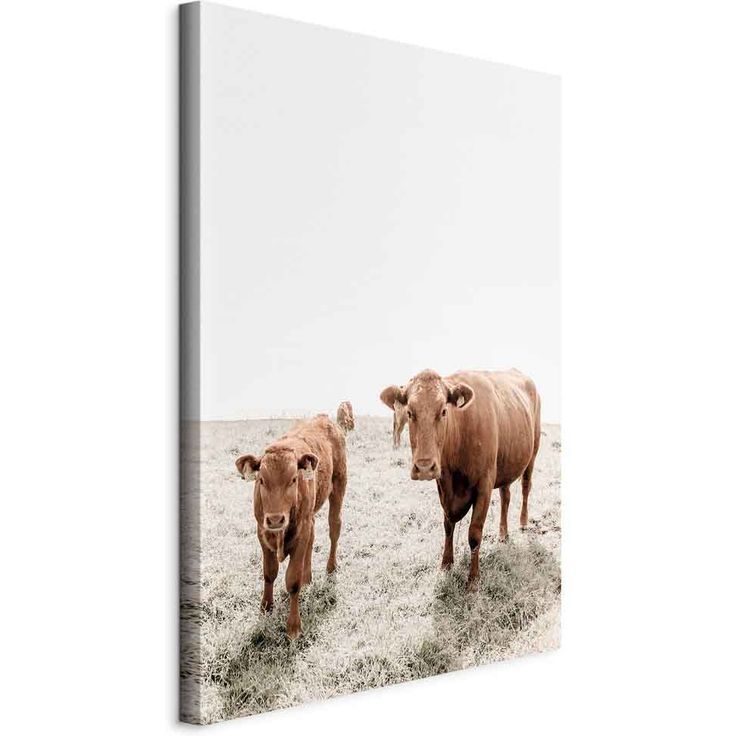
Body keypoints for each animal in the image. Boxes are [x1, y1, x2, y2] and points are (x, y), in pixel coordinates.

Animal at [235, 415, 347, 639]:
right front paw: (266, 607)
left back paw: (330, 567)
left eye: (294, 479)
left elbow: (292, 581)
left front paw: (293, 626)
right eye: (261, 480)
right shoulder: (262, 532)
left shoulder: (300, 532)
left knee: (334, 528)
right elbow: (269, 572)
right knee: (313, 537)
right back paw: (308, 577)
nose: (276, 519)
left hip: (339, 486)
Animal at [380, 369, 541, 590]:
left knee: (526, 487)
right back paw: (503, 534)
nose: (424, 467)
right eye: (410, 412)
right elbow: (448, 526)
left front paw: (473, 580)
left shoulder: (484, 485)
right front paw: (446, 564)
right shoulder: (444, 488)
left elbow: (474, 534)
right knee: (505, 497)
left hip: (532, 454)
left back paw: (523, 522)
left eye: (443, 411)